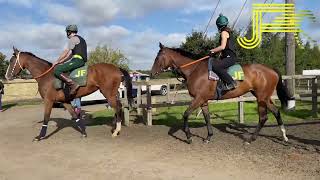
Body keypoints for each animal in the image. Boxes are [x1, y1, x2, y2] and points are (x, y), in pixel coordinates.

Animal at [151, 43, 294, 144]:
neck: (194, 69)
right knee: (276, 112)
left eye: (157, 57)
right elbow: (207, 117)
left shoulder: (198, 98)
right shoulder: (203, 100)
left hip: (261, 98)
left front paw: (189, 137)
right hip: (263, 97)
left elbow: (186, 114)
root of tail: (272, 70)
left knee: (263, 117)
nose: (151, 73)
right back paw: (284, 136)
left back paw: (250, 139)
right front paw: (208, 137)